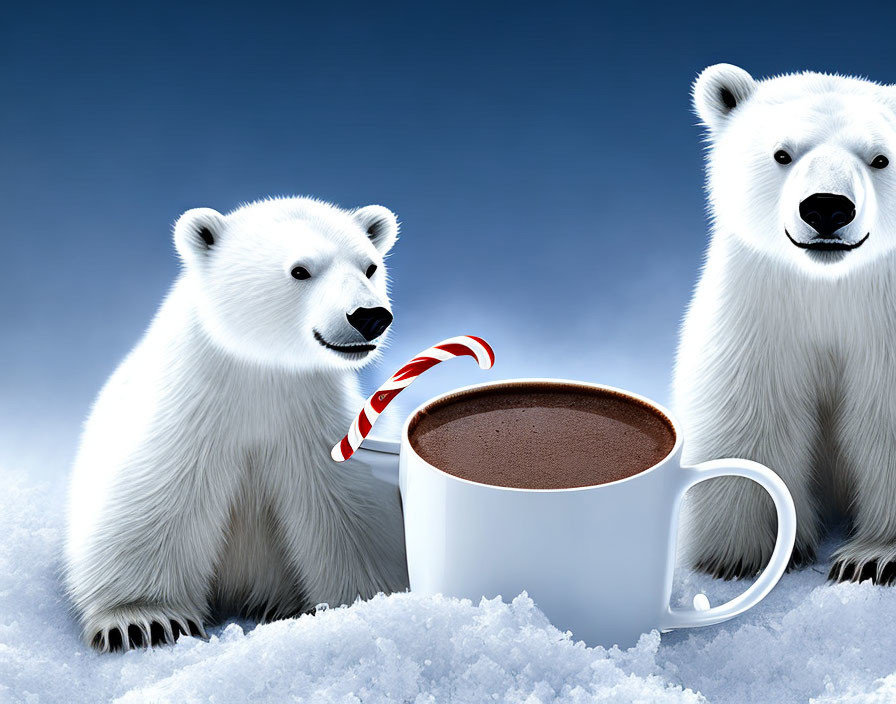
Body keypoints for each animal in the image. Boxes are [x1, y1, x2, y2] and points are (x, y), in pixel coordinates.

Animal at [65, 195, 408, 652]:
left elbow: (348, 515)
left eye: (369, 266)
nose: (370, 316)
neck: (262, 373)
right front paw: (143, 620)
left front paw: (369, 606)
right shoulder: (190, 416)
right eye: (300, 270)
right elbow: (151, 500)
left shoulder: (316, 424)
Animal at [676, 64, 896, 584]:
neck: (828, 284)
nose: (827, 207)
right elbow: (751, 407)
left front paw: (872, 556)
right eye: (782, 153)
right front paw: (749, 553)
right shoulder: (759, 306)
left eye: (880, 158)